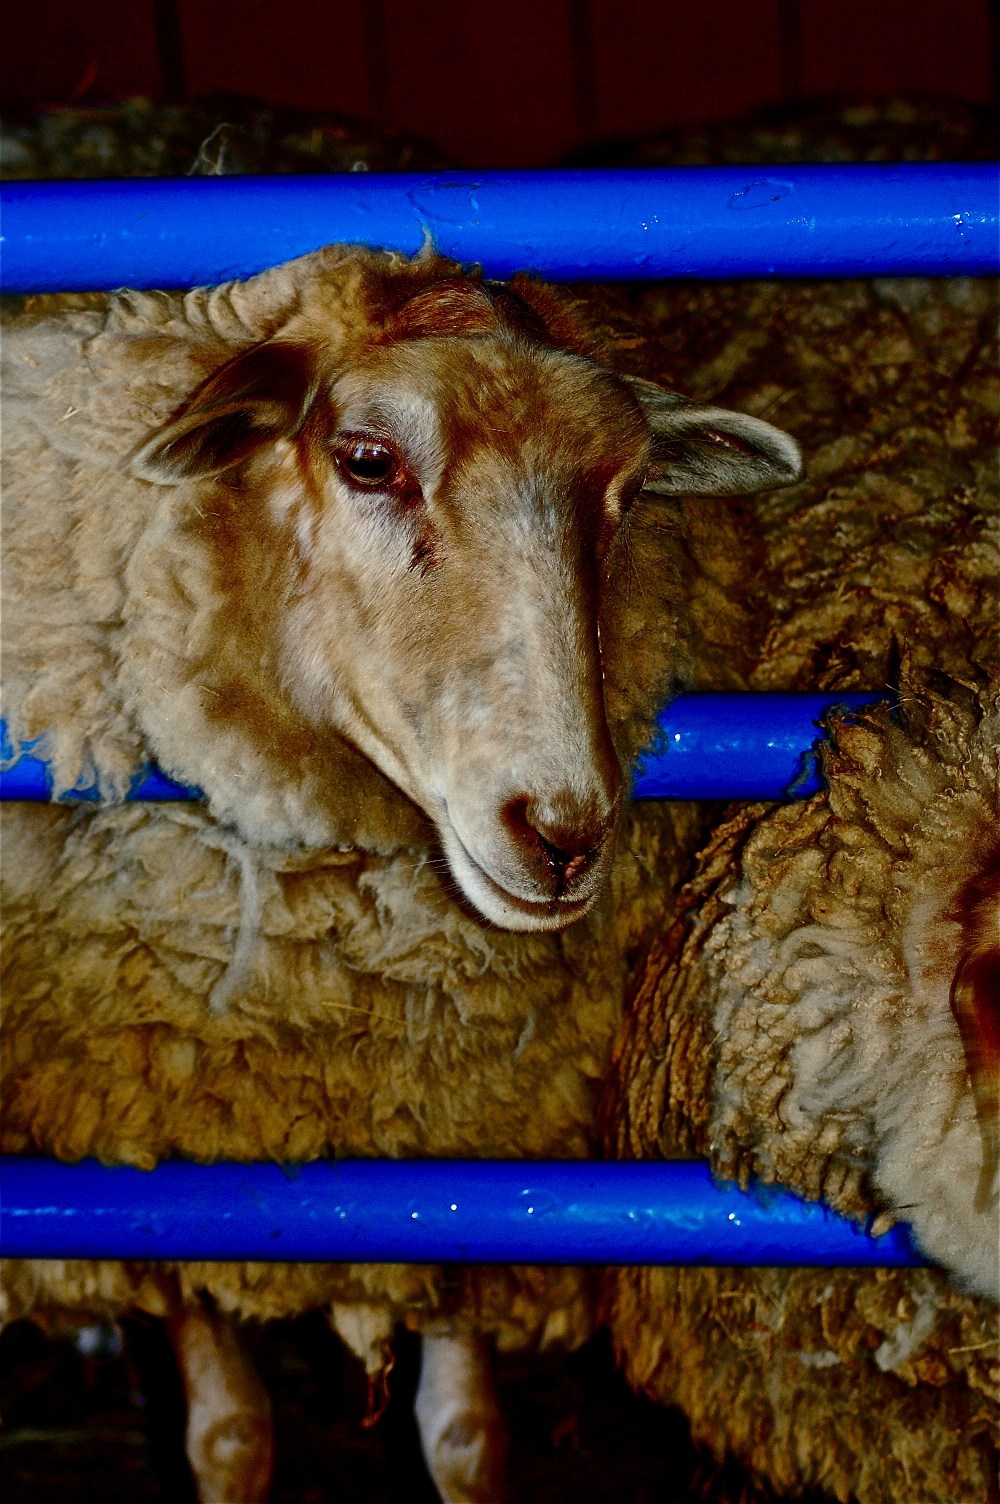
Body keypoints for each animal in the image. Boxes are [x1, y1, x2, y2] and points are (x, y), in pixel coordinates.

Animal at [0, 243, 803, 1502]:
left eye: (626, 494)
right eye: (369, 460)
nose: (563, 831)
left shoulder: (459, 1149)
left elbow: (463, 1434)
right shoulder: (158, 1136)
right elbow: (229, 1433)